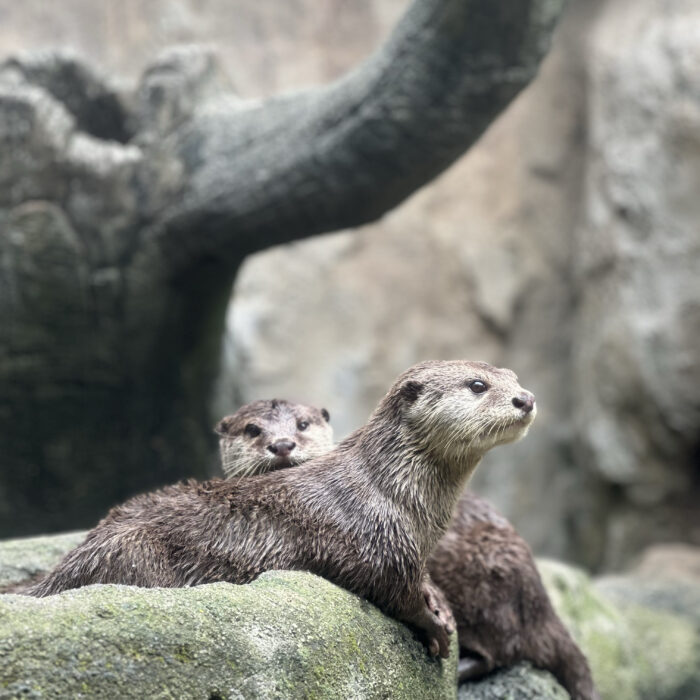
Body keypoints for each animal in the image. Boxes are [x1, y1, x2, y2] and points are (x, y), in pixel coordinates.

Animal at [27, 360, 535, 660]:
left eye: (514, 378)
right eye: (477, 384)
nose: (526, 398)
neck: (391, 489)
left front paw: (437, 602)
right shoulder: (377, 544)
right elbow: (393, 592)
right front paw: (435, 626)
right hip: (134, 550)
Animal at [216, 395, 597, 699]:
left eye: (302, 424)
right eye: (252, 429)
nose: (282, 444)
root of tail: (540, 601)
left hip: (480, 573)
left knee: (502, 647)